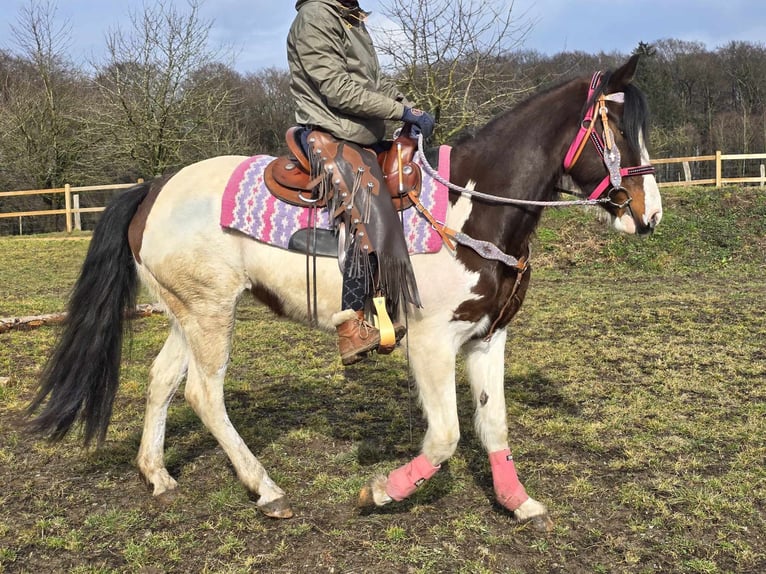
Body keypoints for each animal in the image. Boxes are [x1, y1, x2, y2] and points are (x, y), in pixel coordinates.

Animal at [27, 54, 664, 532]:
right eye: (616, 129)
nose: (649, 215)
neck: (471, 207)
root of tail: (153, 188)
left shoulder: (488, 337)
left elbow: (494, 425)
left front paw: (516, 501)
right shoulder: (430, 342)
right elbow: (445, 437)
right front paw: (380, 492)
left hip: (186, 313)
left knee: (161, 380)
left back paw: (158, 475)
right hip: (210, 313)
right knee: (204, 395)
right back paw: (267, 489)